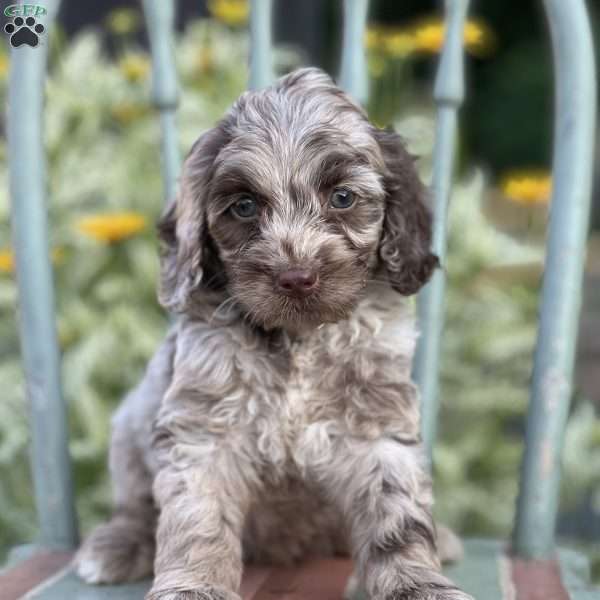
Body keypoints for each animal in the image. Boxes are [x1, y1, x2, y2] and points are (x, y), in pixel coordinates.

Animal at [75, 67, 472, 600]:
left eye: (342, 198)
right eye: (244, 207)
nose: (297, 277)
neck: (299, 341)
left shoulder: (376, 427)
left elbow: (397, 517)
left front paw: (417, 584)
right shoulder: (203, 431)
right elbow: (197, 520)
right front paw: (193, 587)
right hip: (131, 423)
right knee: (135, 506)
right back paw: (115, 545)